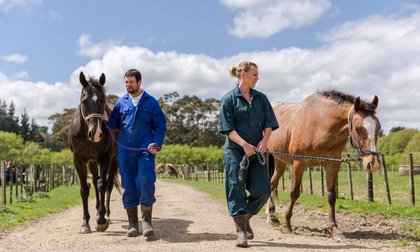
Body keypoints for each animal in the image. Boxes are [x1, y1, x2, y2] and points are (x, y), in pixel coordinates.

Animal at [68, 72, 119, 233]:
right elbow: (85, 189)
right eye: (84, 101)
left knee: (107, 185)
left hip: (114, 160)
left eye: (102, 100)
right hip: (92, 162)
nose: (95, 133)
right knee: (96, 182)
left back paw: (106, 214)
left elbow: (103, 185)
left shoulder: (104, 158)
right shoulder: (79, 159)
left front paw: (101, 221)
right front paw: (85, 223)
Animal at [268, 90, 382, 238]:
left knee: (272, 183)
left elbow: (331, 195)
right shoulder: (299, 163)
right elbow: (294, 193)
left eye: (378, 127)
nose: (373, 164)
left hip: (280, 161)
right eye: (358, 129)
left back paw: (272, 216)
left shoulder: (332, 165)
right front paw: (287, 225)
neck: (319, 124)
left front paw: (334, 228)